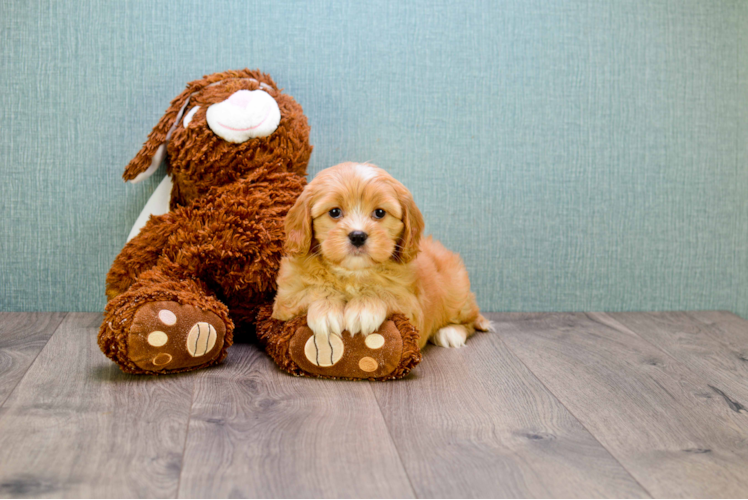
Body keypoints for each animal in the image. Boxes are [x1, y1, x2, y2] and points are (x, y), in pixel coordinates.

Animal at [270, 162, 490, 350]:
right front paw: (326, 310)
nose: (358, 236)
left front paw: (364, 308)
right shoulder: (286, 298)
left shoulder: (412, 307)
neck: (352, 273)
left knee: (470, 319)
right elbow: (311, 290)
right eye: (334, 212)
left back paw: (451, 332)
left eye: (380, 213)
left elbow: (384, 292)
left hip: (456, 291)